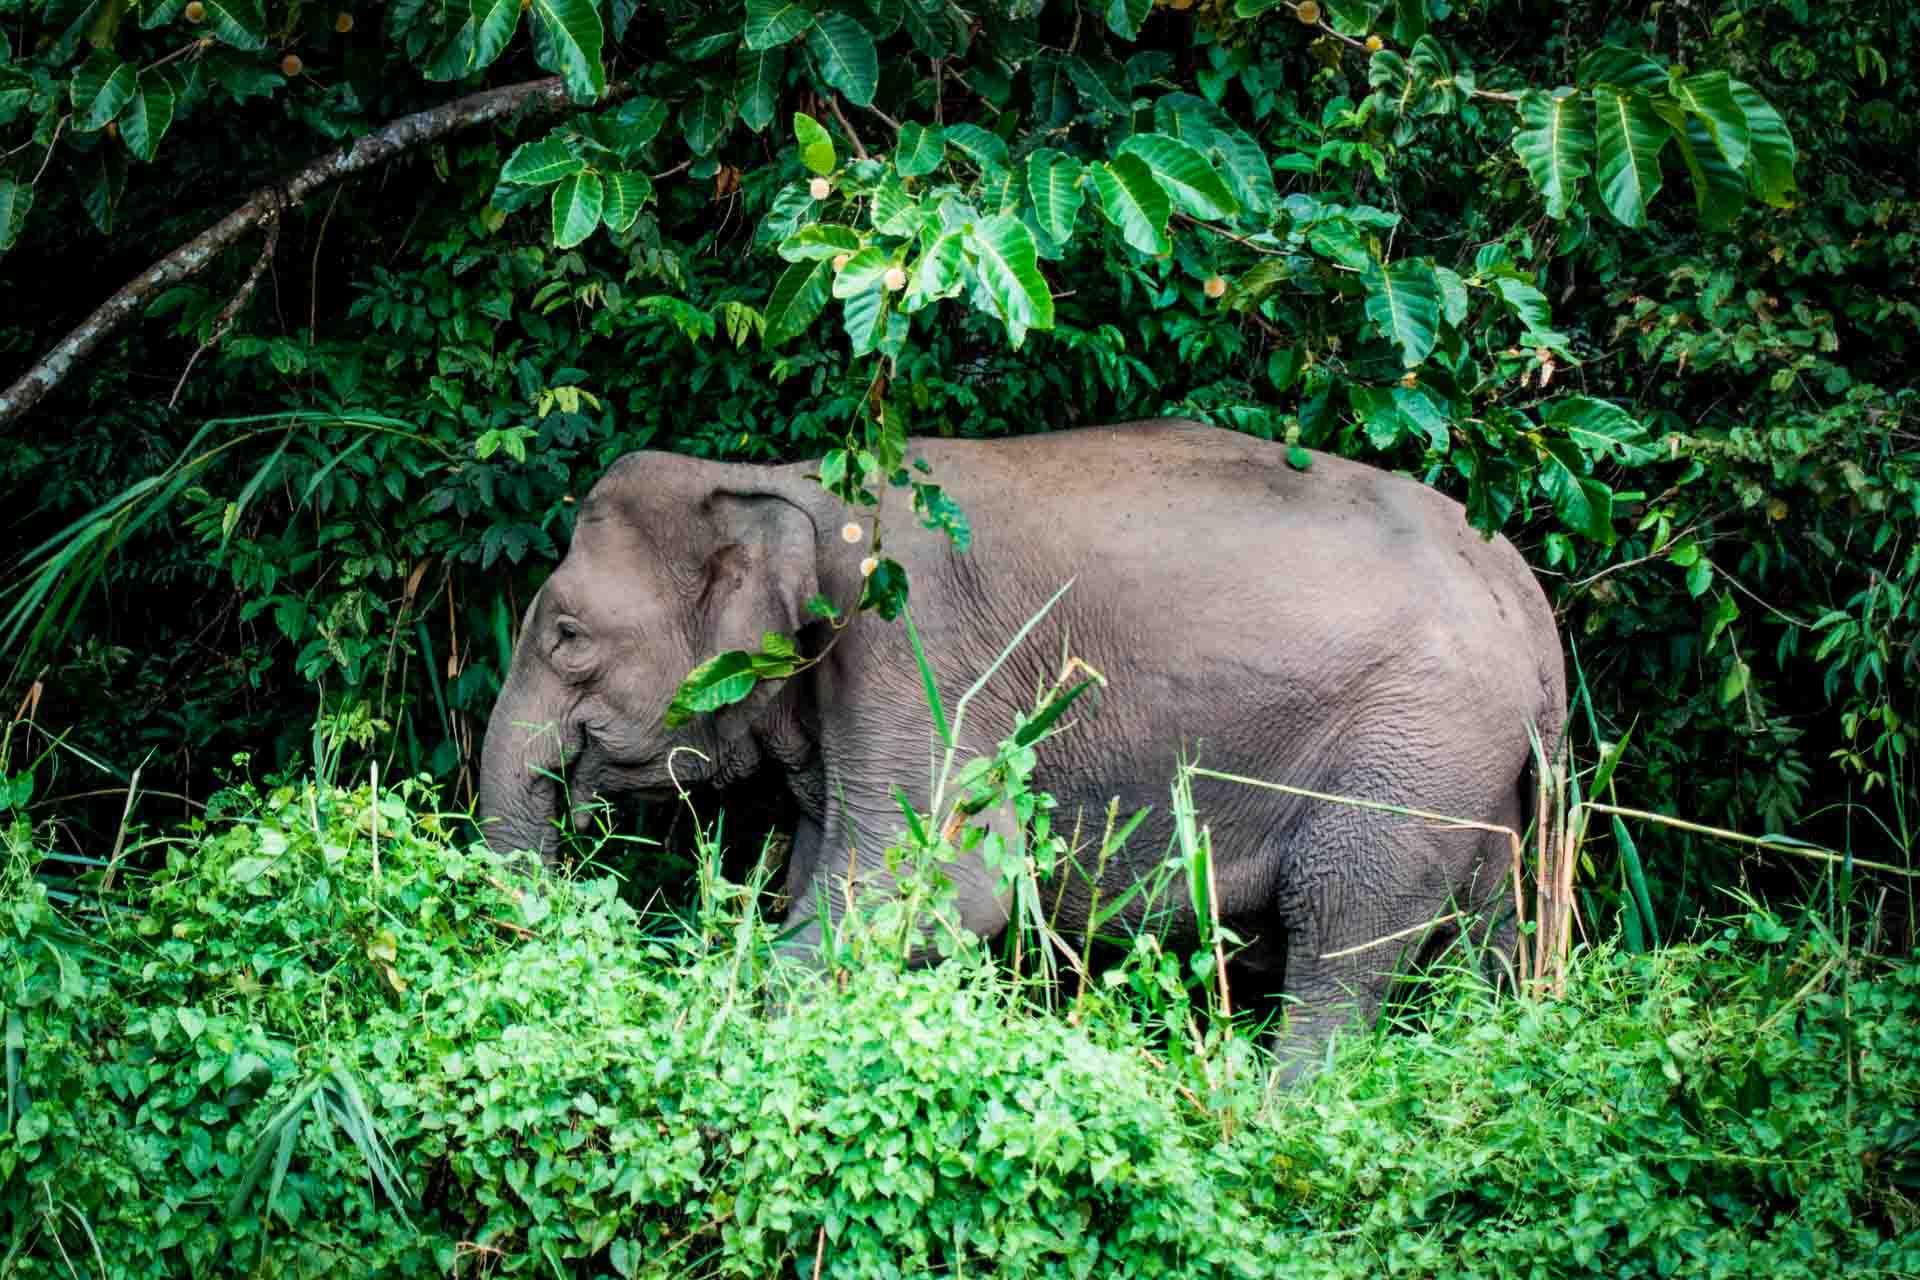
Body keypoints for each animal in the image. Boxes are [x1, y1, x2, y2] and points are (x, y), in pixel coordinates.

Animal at [476, 420, 1559, 1059]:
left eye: (566, 634)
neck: (779, 480)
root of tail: (1529, 604)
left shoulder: (916, 653)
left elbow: (935, 892)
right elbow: (833, 877)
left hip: (1409, 753)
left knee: (1341, 932)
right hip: (1476, 775)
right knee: (1480, 934)